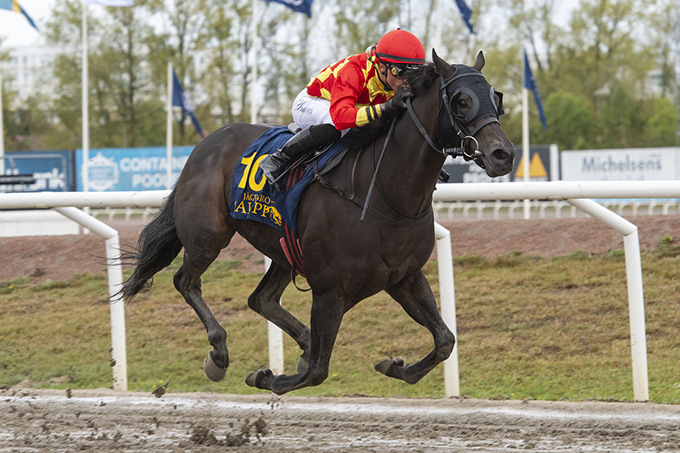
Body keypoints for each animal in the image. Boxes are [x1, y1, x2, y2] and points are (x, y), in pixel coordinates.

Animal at [122, 49, 516, 394]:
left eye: (495, 98)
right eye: (462, 101)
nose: (504, 155)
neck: (386, 194)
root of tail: (206, 143)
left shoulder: (404, 277)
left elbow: (445, 340)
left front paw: (395, 366)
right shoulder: (330, 289)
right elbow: (316, 372)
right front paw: (266, 376)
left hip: (283, 248)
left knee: (261, 299)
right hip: (208, 234)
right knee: (186, 281)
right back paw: (218, 354)